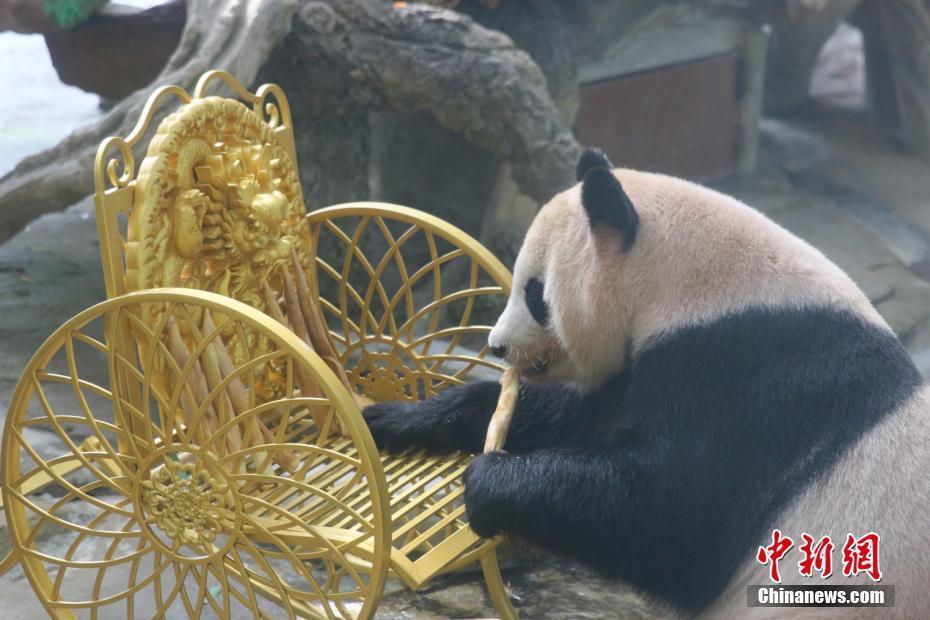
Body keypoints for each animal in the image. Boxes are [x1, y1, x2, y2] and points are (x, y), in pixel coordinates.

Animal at [360, 148, 928, 616]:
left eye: (536, 293)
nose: (498, 347)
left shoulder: (754, 373)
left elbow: (671, 513)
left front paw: (487, 482)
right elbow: (572, 416)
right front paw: (396, 419)